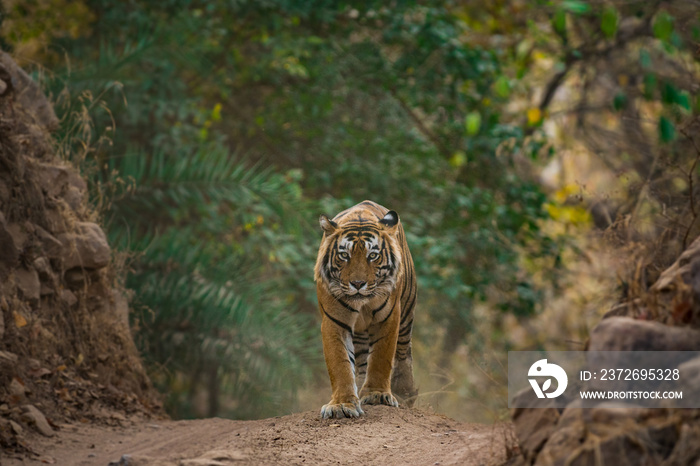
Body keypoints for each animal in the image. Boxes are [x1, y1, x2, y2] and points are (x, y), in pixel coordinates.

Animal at [316, 199, 418, 418]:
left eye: (373, 255)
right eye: (344, 255)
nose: (357, 283)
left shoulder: (388, 318)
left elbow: (381, 357)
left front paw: (377, 395)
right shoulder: (334, 322)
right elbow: (340, 363)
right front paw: (342, 404)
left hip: (406, 313)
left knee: (403, 351)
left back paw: (405, 393)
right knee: (362, 362)